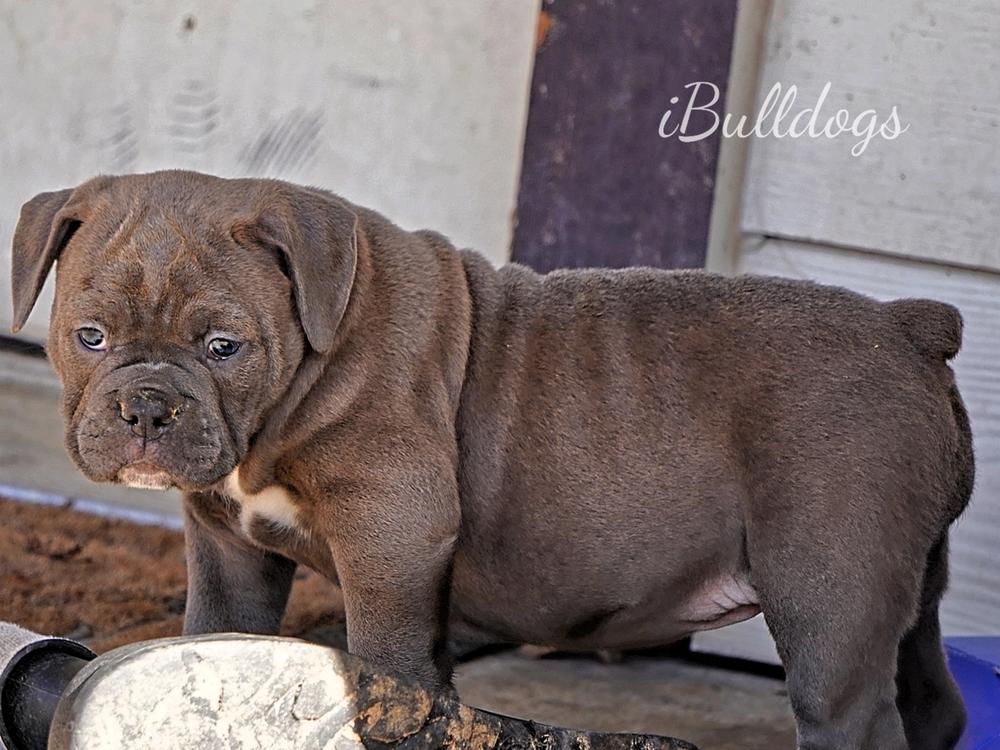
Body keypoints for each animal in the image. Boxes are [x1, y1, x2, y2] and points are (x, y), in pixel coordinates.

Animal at [11, 171, 973, 749]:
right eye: (89, 336)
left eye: (223, 347)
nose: (145, 406)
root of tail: (910, 327)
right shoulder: (229, 549)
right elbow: (211, 630)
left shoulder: (391, 530)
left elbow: (388, 656)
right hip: (903, 586)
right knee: (930, 697)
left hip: (827, 590)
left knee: (847, 710)